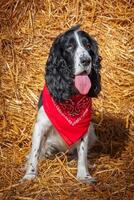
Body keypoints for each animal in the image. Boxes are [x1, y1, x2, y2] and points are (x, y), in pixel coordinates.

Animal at [22, 25, 101, 184]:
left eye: (88, 46)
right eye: (69, 47)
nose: (86, 60)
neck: (71, 98)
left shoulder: (84, 127)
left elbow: (82, 152)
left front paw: (84, 175)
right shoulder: (40, 125)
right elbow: (35, 152)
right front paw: (30, 175)